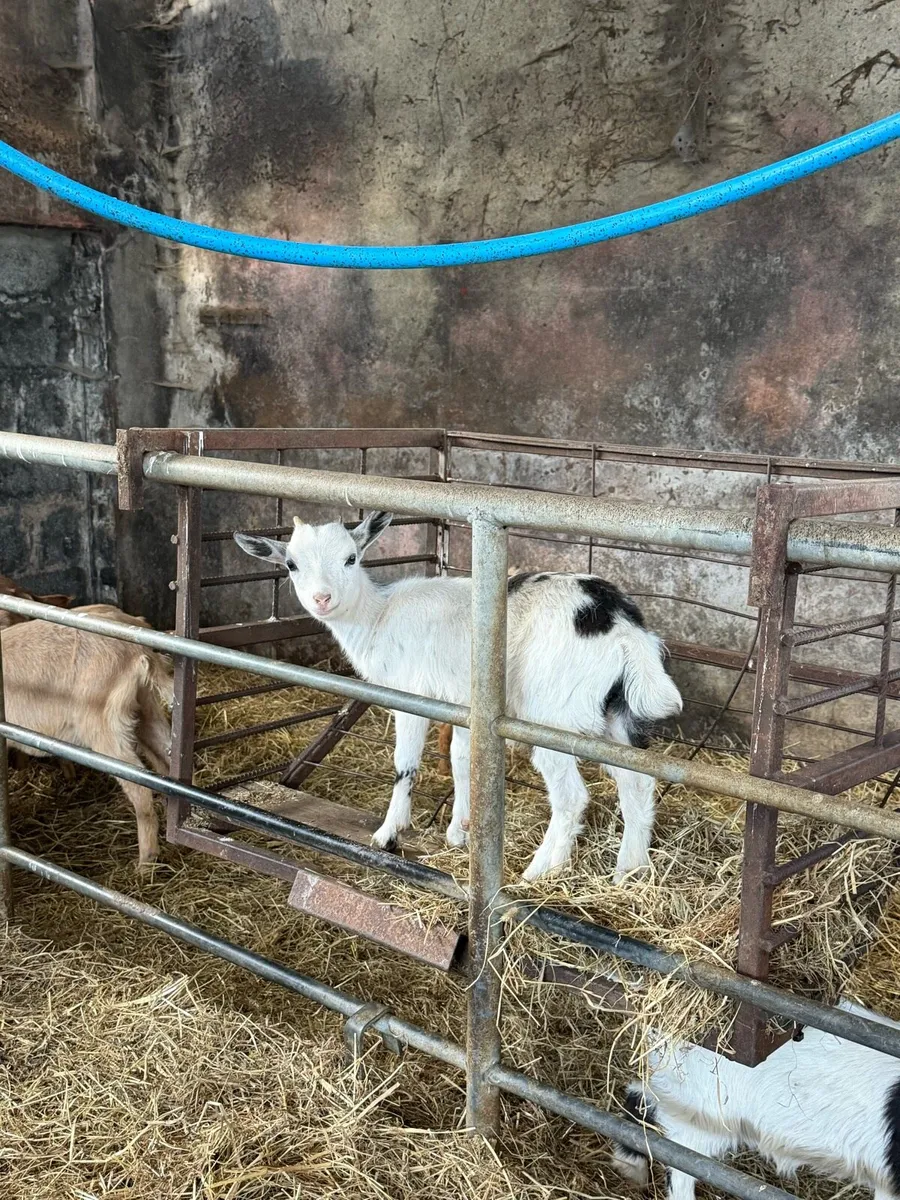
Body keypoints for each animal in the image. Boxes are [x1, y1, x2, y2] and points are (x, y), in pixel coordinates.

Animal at [2, 605, 173, 866]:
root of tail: (137, 648)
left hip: (102, 725)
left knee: (140, 787)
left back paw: (146, 862)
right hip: (146, 709)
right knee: (167, 759)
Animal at [234, 511, 682, 882]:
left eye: (351, 558)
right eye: (291, 565)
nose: (322, 599)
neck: (379, 617)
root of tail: (622, 628)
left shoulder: (411, 693)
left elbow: (405, 764)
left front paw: (388, 833)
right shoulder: (465, 704)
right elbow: (462, 760)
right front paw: (460, 830)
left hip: (549, 711)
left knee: (572, 796)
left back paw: (538, 872)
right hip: (614, 711)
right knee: (637, 780)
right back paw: (629, 869)